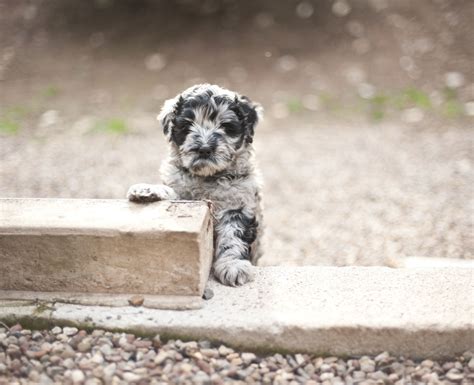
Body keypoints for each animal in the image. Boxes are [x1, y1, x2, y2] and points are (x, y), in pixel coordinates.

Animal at [127, 85, 262, 288]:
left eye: (226, 126)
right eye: (187, 125)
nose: (205, 149)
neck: (207, 178)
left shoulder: (239, 205)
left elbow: (233, 236)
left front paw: (233, 266)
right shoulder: (183, 193)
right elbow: (172, 192)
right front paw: (149, 190)